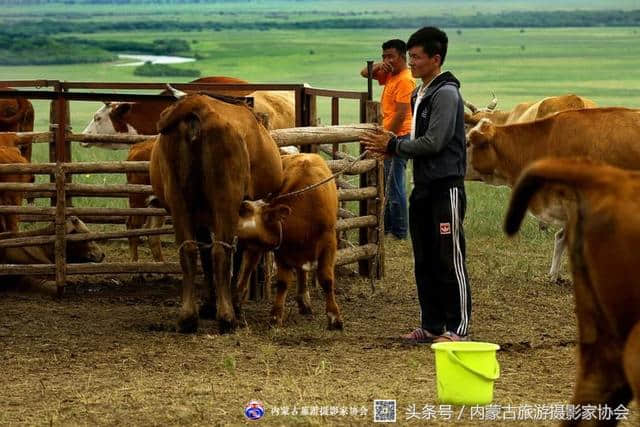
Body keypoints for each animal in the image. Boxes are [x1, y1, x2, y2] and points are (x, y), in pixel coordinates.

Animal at [150, 93, 282, 334]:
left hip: (179, 200)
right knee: (222, 251)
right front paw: (234, 303)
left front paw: (210, 304)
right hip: (225, 201)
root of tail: (196, 105)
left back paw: (188, 317)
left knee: (190, 250)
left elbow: (204, 253)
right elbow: (239, 257)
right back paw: (227, 316)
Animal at [235, 154, 344, 332]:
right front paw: (275, 316)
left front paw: (334, 317)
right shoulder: (282, 249)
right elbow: (283, 282)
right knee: (248, 270)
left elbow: (327, 279)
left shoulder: (329, 243)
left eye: (246, 210)